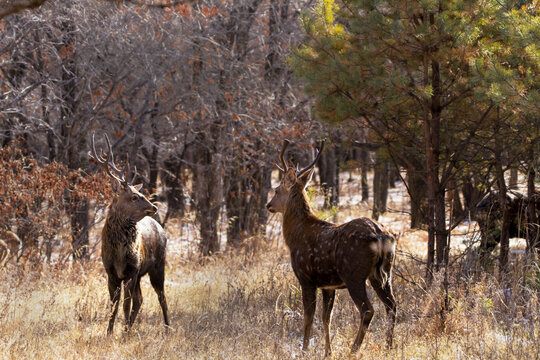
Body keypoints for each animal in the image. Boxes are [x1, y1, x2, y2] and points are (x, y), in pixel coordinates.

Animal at [89, 134, 169, 334]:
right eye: (134, 197)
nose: (154, 207)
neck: (118, 254)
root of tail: (161, 229)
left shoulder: (131, 270)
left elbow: (125, 305)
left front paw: (121, 333)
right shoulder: (111, 272)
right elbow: (114, 305)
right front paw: (110, 333)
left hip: (158, 266)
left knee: (161, 297)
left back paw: (167, 328)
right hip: (141, 274)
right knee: (140, 300)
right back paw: (130, 329)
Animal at [266, 139, 396, 356]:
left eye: (276, 189)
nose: (269, 205)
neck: (296, 236)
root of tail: (380, 235)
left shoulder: (306, 277)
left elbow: (308, 317)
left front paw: (304, 350)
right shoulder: (328, 285)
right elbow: (327, 317)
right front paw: (328, 351)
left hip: (354, 274)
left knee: (368, 309)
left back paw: (354, 350)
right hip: (384, 274)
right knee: (392, 306)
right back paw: (388, 347)